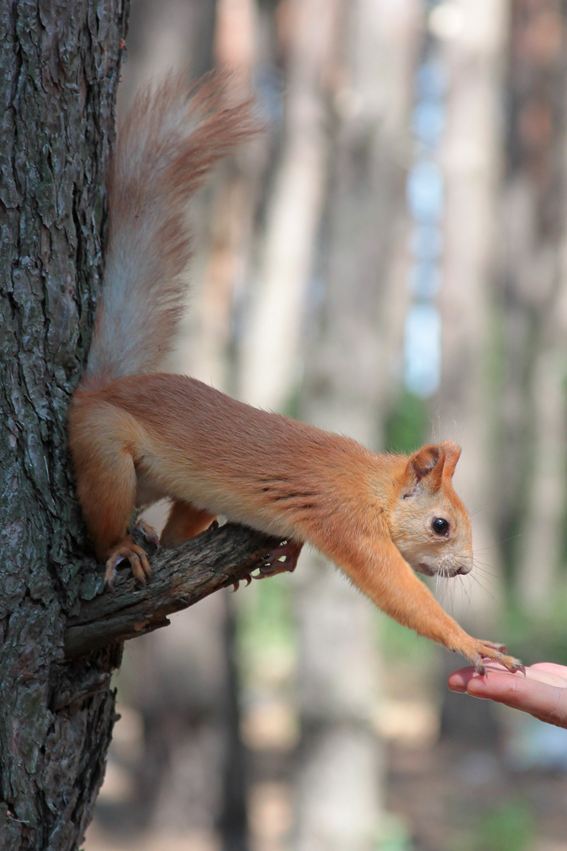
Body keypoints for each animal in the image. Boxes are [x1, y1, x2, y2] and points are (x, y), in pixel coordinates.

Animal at [69, 70, 524, 676]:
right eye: (441, 525)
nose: (467, 569)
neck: (372, 486)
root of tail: (104, 388)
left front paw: (284, 554)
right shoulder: (345, 522)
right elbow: (394, 590)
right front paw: (468, 640)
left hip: (177, 491)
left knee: (179, 524)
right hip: (102, 449)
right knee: (103, 512)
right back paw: (120, 546)